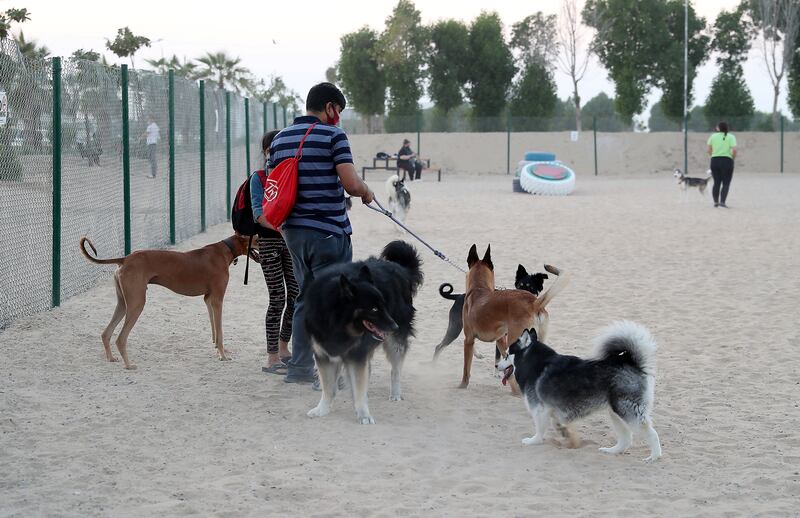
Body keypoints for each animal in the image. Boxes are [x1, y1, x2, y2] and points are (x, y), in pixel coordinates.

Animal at [460, 246, 564, 392]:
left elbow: (466, 370)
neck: (479, 288)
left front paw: (462, 386)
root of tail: (534, 302)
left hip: (515, 339)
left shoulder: (468, 340)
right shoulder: (500, 340)